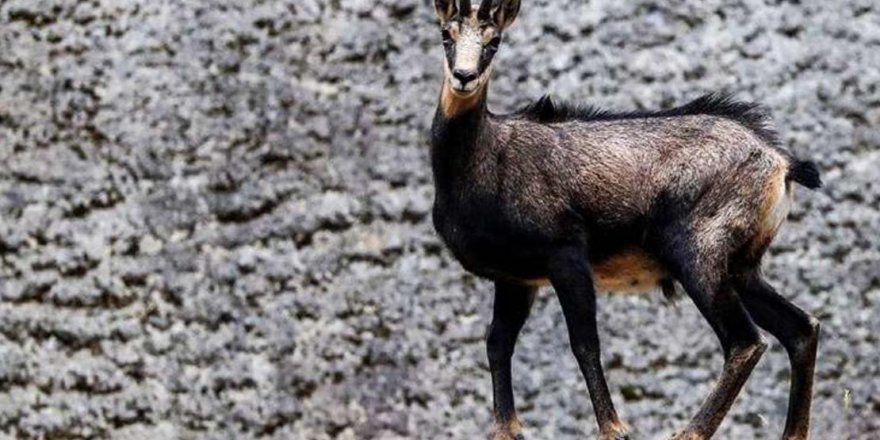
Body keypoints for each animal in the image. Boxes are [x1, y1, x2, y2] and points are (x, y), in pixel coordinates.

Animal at [428, 1, 823, 439]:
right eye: (446, 34)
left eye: (493, 41)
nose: (464, 77)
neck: (481, 159)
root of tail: (782, 164)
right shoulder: (515, 277)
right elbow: (497, 342)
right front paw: (505, 429)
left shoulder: (566, 255)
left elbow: (584, 342)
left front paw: (614, 428)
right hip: (742, 266)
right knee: (800, 328)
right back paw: (792, 432)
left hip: (698, 252)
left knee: (745, 341)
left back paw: (690, 431)